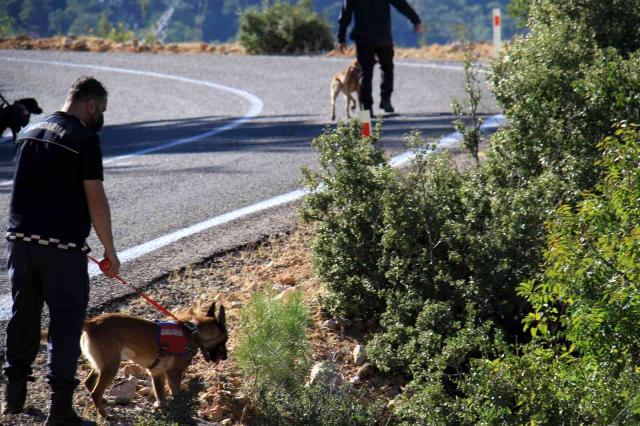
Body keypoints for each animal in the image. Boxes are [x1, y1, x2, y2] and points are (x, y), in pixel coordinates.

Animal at [79, 302, 226, 418]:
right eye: (225, 340)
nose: (225, 357)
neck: (194, 332)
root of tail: (91, 323)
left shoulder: (157, 374)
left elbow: (161, 397)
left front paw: (165, 410)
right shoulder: (174, 374)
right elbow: (177, 396)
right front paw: (179, 411)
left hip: (103, 366)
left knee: (89, 383)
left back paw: (103, 402)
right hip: (111, 367)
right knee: (95, 392)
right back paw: (105, 415)